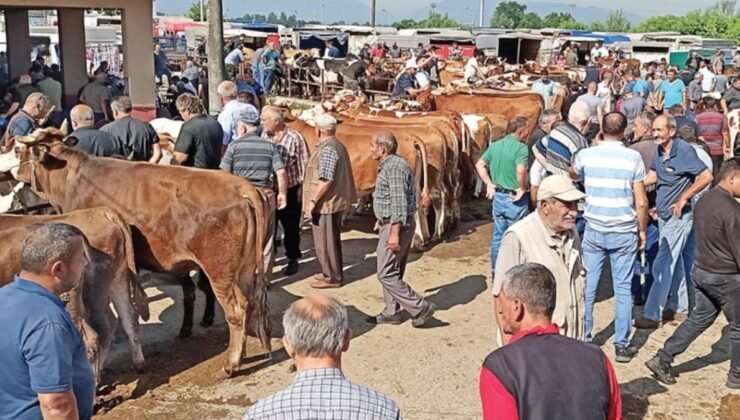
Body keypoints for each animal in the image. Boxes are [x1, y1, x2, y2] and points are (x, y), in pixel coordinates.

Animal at [0, 208, 149, 378]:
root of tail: (101, 211)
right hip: (118, 278)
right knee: (129, 318)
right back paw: (136, 364)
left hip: (90, 291)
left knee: (98, 331)